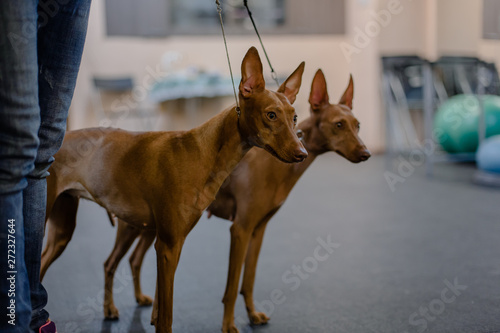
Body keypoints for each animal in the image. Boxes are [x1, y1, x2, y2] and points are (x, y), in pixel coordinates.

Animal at [60, 68, 370, 330]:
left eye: (357, 124)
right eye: (338, 125)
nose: (366, 154)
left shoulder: (258, 229)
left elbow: (248, 280)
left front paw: (253, 314)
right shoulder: (240, 229)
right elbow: (231, 287)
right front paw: (229, 325)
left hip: (149, 227)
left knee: (135, 260)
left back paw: (141, 300)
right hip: (133, 225)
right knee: (110, 263)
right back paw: (110, 309)